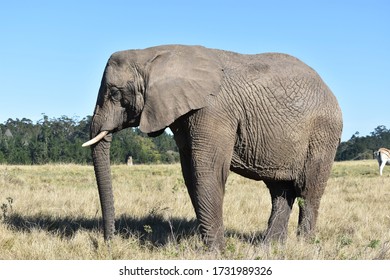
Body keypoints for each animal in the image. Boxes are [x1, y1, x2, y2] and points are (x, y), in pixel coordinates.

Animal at [82, 43, 342, 249]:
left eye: (115, 94)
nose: (108, 244)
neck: (155, 54)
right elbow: (190, 173)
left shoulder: (213, 110)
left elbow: (207, 171)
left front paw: (214, 252)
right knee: (280, 192)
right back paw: (270, 249)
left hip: (323, 134)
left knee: (308, 192)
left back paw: (304, 247)